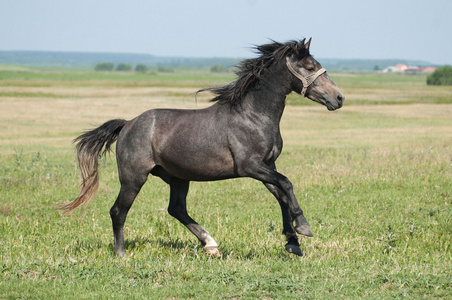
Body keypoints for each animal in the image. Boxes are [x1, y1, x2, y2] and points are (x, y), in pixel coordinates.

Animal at [59, 38, 342, 256]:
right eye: (310, 66)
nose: (339, 98)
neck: (253, 116)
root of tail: (127, 124)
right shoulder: (251, 166)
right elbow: (287, 184)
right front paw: (303, 227)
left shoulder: (267, 166)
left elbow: (281, 195)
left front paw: (292, 242)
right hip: (134, 177)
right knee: (118, 211)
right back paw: (121, 253)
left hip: (177, 177)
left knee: (176, 209)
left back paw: (211, 245)